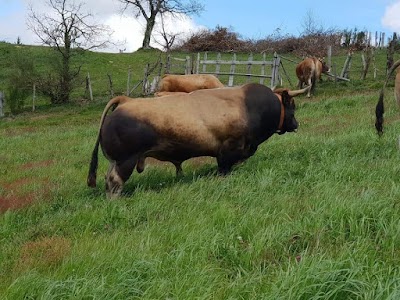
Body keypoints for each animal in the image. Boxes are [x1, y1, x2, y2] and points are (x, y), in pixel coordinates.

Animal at [87, 83, 310, 198]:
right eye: (293, 106)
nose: (296, 124)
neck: (251, 106)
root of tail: (126, 101)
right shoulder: (228, 150)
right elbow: (224, 170)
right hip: (126, 160)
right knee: (114, 181)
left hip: (116, 160)